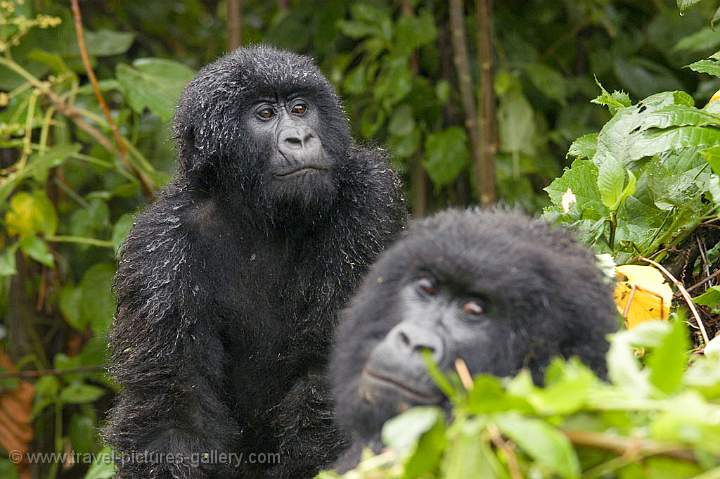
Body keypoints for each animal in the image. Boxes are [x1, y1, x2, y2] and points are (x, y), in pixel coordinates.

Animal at [102, 46, 404, 479]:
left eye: (300, 108)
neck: (256, 213)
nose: (300, 136)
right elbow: (172, 409)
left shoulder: (370, 199)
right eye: (264, 115)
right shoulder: (156, 249)